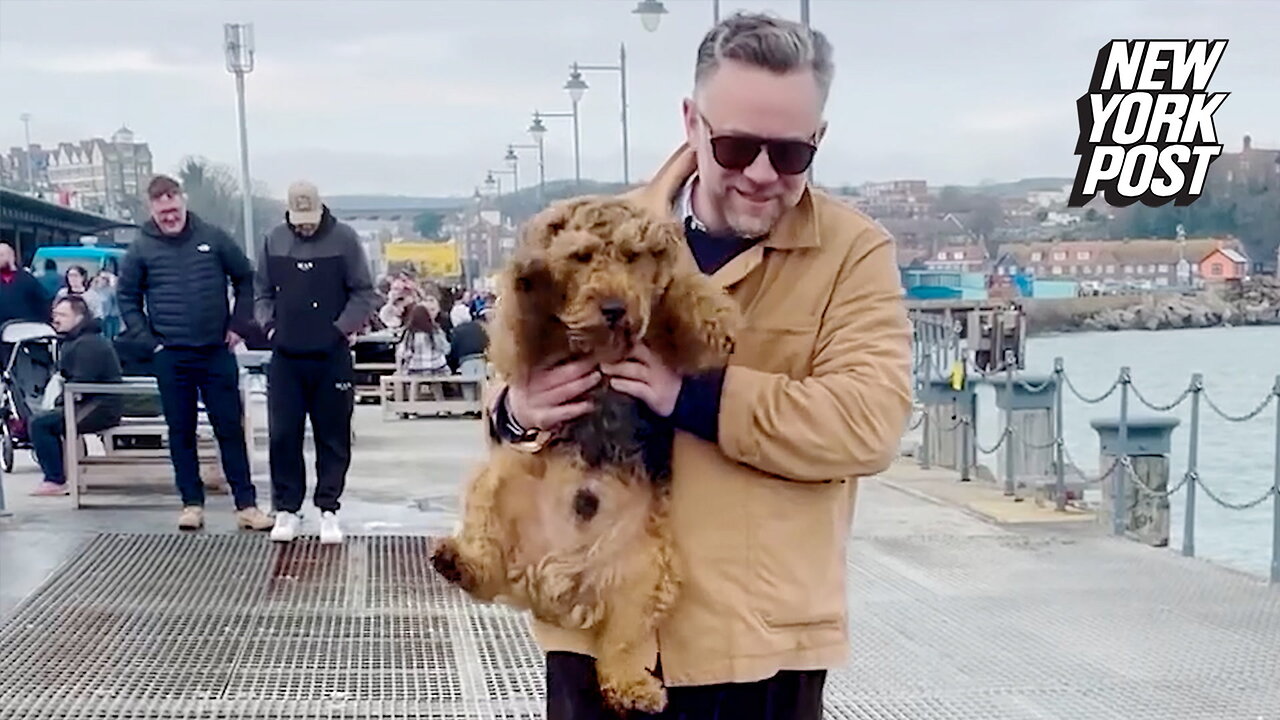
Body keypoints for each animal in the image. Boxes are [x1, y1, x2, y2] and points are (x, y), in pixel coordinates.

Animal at [427, 193, 737, 707]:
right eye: (581, 256)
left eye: (633, 256)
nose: (614, 308)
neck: (601, 346)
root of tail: (559, 577)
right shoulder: (527, 353)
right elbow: (524, 317)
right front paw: (531, 274)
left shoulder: (673, 346)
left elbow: (681, 294)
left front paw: (713, 314)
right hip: (497, 476)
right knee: (489, 566)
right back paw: (459, 561)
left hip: (650, 576)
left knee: (621, 649)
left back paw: (635, 689)